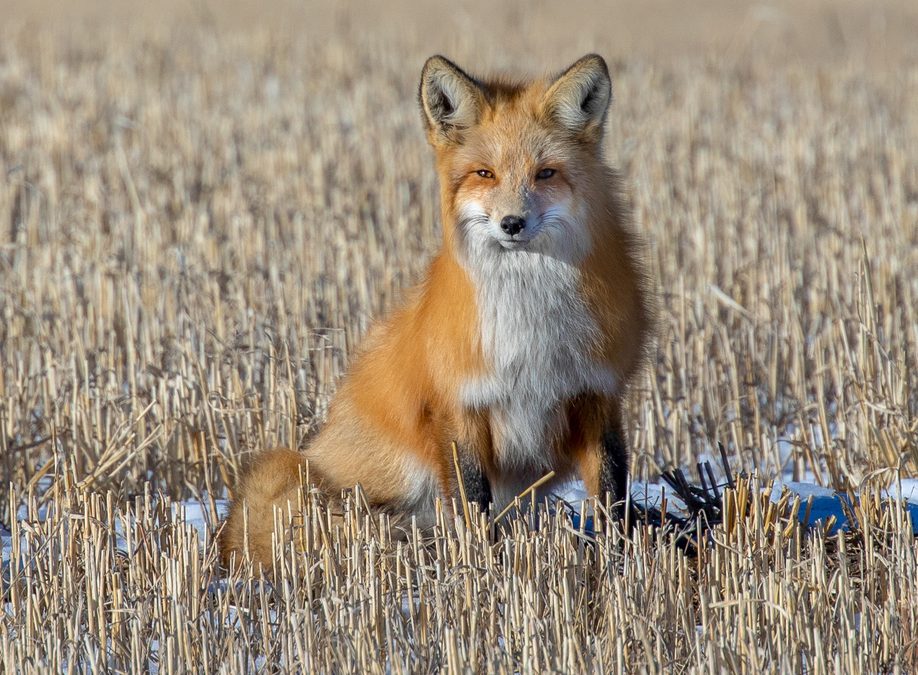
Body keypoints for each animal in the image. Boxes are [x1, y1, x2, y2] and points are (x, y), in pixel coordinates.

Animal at [219, 53, 653, 570]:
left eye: (545, 173)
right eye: (485, 174)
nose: (512, 223)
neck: (532, 327)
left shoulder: (596, 395)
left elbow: (612, 494)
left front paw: (620, 564)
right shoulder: (459, 406)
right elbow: (473, 503)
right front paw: (483, 569)